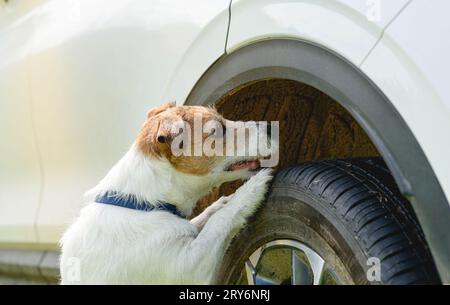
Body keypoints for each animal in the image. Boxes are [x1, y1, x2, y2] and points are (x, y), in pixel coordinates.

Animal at [59, 101, 274, 282]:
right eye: (218, 130)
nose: (270, 126)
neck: (143, 204)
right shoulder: (190, 266)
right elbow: (219, 221)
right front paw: (251, 189)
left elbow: (203, 220)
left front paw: (219, 204)